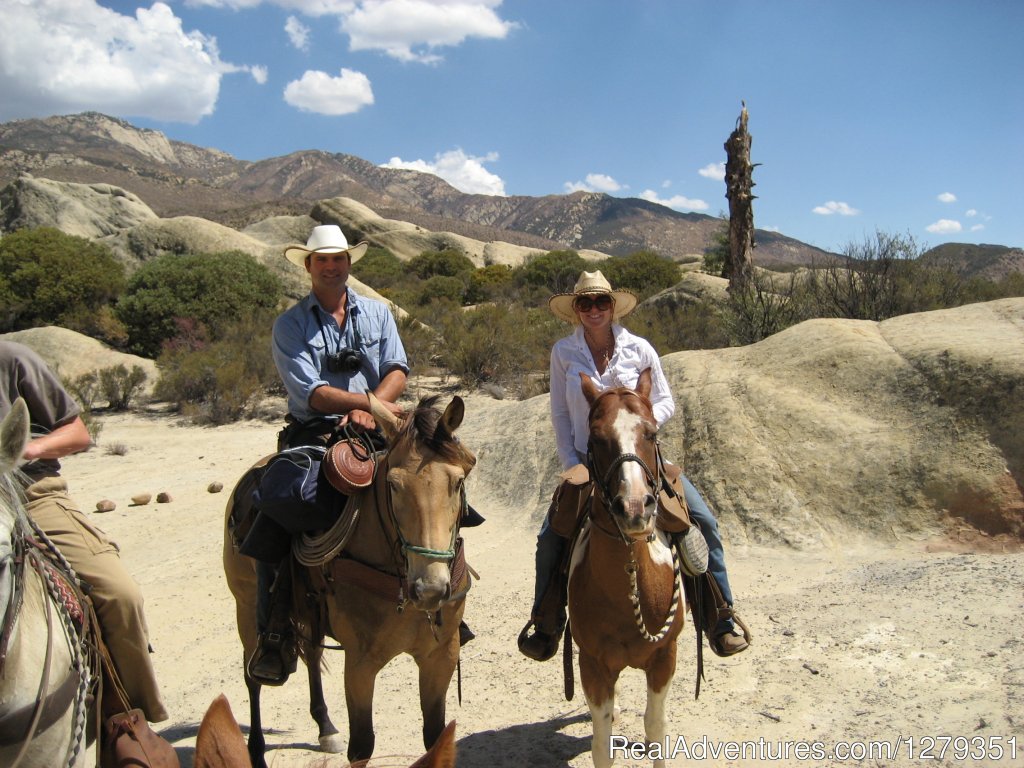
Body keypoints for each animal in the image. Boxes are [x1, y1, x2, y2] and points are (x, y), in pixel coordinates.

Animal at [224, 397, 475, 768]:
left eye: (457, 483)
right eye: (393, 485)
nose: (429, 590)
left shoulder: (440, 656)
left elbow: (435, 737)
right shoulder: (359, 665)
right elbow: (362, 746)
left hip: (309, 613)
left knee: (313, 655)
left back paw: (325, 726)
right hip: (244, 605)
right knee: (251, 677)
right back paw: (255, 749)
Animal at [569, 370, 688, 765]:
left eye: (651, 432)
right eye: (596, 437)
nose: (635, 507)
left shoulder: (665, 657)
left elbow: (656, 729)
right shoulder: (592, 666)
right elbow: (601, 744)